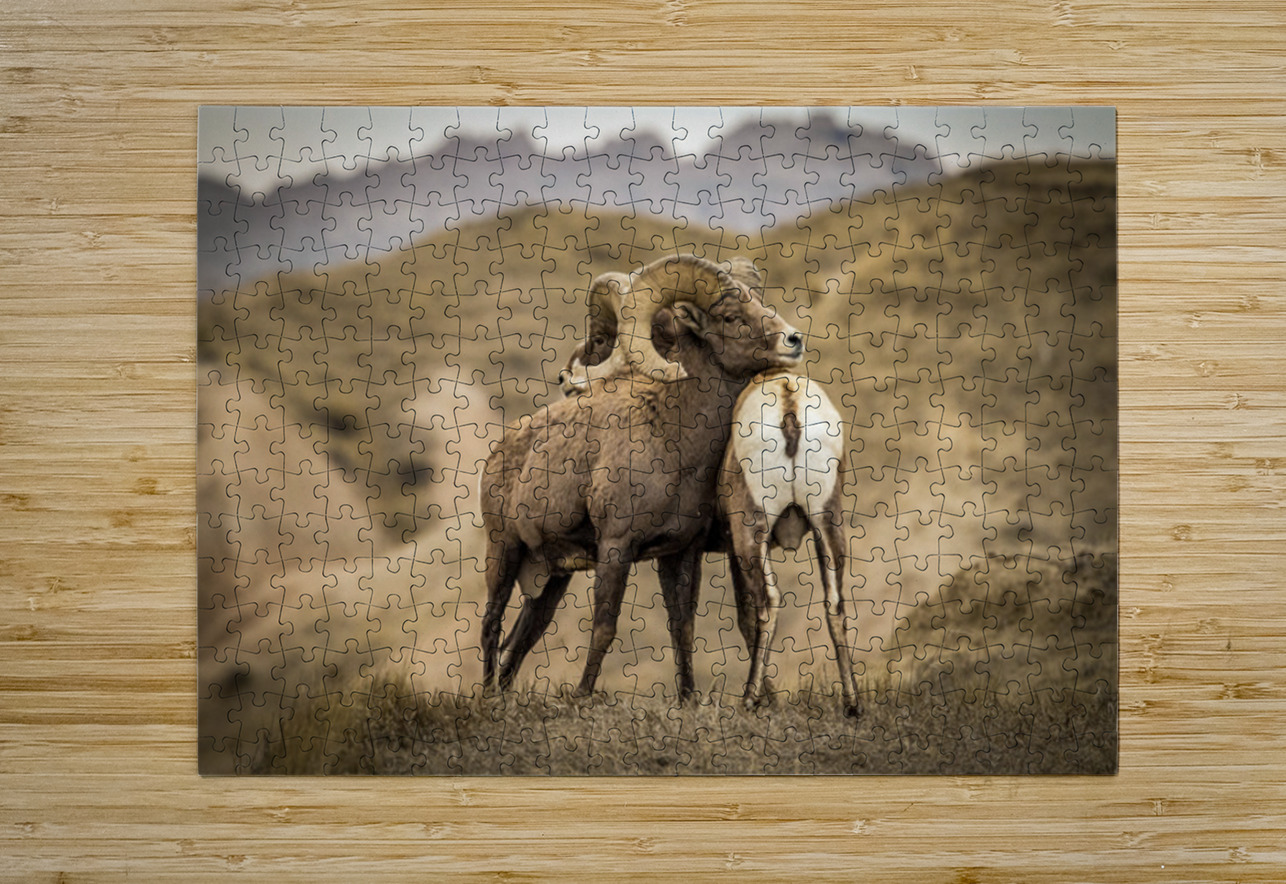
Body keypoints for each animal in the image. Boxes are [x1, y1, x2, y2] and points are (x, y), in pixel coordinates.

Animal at [479, 255, 804, 702]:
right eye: (729, 316)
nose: (794, 340)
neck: (675, 442)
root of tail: (501, 450)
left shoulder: (681, 553)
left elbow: (684, 629)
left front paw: (690, 701)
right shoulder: (616, 548)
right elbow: (604, 629)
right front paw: (582, 697)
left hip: (552, 578)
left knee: (525, 636)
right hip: (503, 551)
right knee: (490, 626)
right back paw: (485, 698)